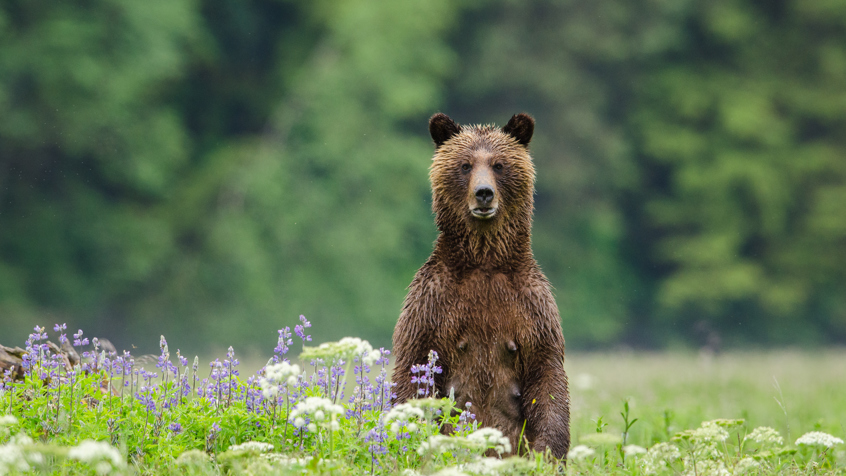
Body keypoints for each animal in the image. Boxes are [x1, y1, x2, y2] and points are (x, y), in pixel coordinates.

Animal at [394, 111, 572, 458]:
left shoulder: (532, 305)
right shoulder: (432, 300)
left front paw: (547, 453)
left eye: (499, 164)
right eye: (465, 165)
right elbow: (413, 365)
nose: (484, 193)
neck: (484, 260)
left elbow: (547, 376)